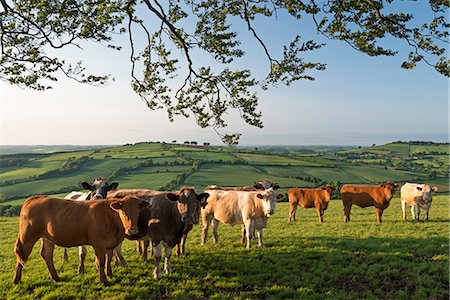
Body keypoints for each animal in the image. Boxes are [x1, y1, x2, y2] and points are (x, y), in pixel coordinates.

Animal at [12, 196, 149, 284]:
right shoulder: (99, 243)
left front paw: (110, 275)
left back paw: (56, 278)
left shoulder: (110, 243)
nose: (132, 230)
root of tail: (34, 198)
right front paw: (104, 280)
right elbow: (101, 261)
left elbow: (108, 259)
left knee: (46, 255)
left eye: (137, 212)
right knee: (22, 255)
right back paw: (16, 280)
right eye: (123, 212)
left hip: (47, 238)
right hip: (27, 236)